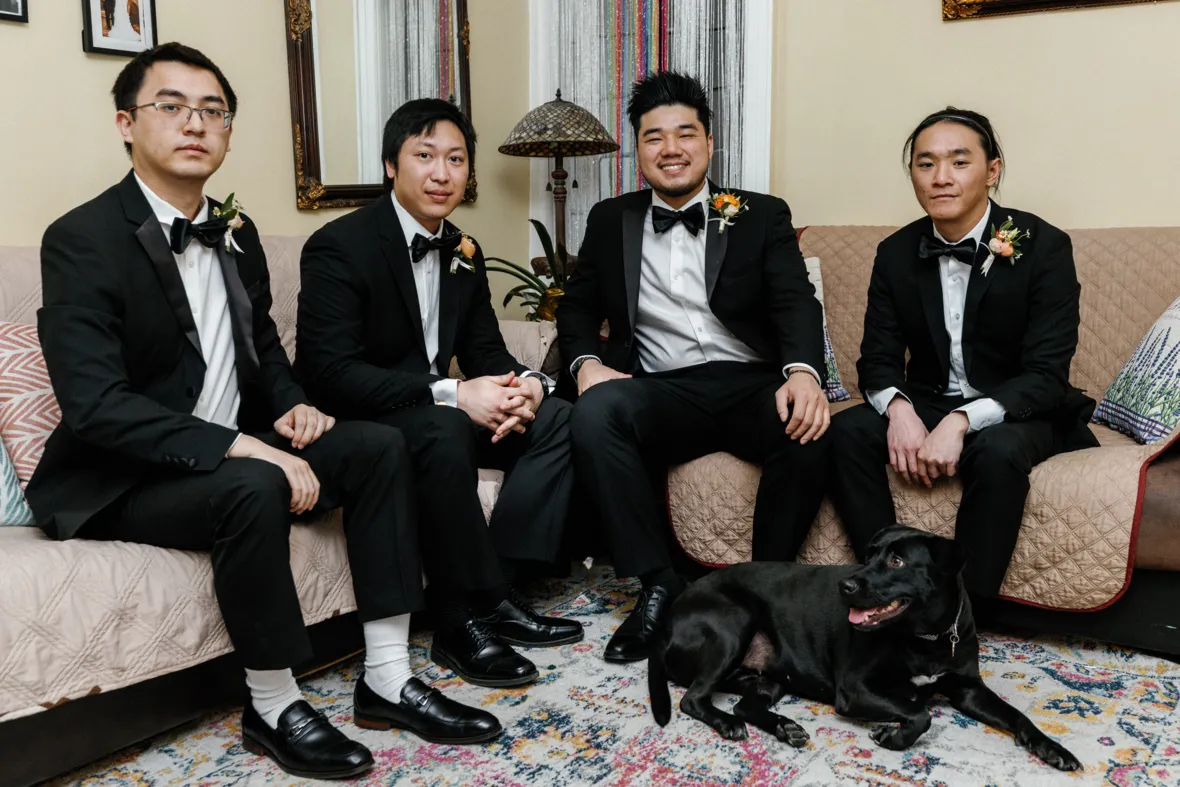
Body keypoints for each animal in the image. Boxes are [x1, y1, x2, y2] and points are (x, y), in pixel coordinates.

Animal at [651, 526, 1080, 774]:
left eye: (897, 560)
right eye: (869, 554)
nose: (846, 585)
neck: (927, 636)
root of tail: (669, 616)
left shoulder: (968, 689)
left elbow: (1017, 715)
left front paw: (1052, 748)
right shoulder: (855, 688)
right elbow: (921, 713)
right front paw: (893, 736)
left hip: (770, 676)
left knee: (745, 704)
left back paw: (785, 727)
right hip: (731, 626)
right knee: (693, 699)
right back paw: (726, 724)